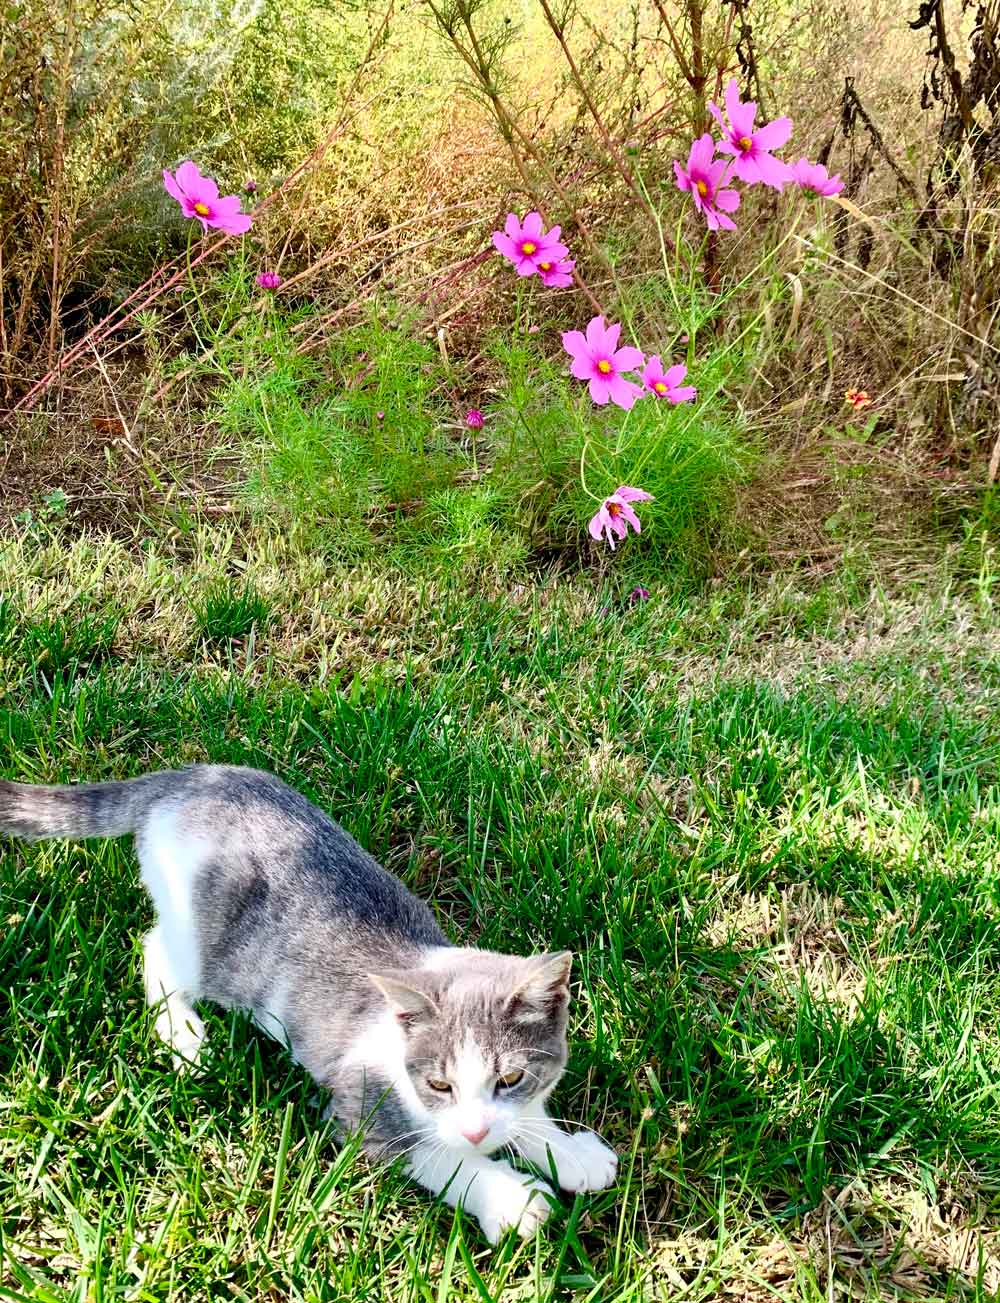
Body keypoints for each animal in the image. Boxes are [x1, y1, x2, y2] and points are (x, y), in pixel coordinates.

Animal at [0, 760, 617, 1240]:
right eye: (439, 1085)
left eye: (509, 1078)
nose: (475, 1130)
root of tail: (193, 777)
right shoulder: (359, 1103)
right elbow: (435, 1156)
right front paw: (512, 1199)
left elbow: (524, 1119)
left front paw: (567, 1151)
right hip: (204, 938)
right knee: (155, 949)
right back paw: (184, 1036)